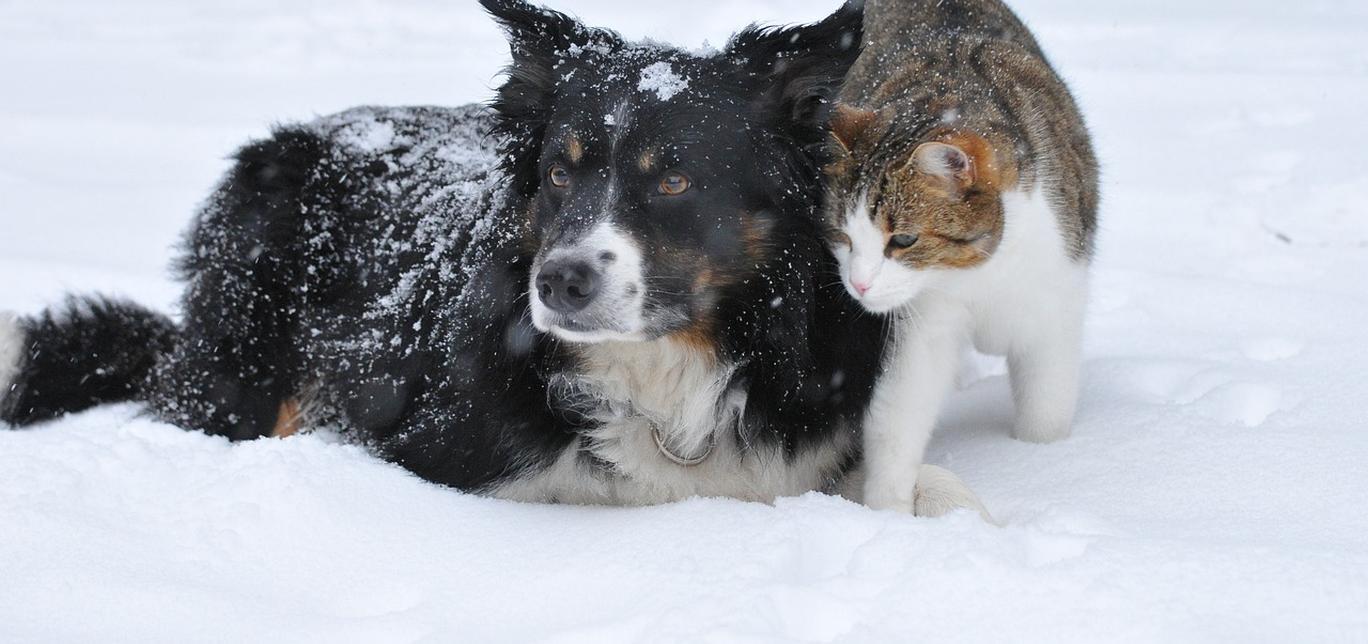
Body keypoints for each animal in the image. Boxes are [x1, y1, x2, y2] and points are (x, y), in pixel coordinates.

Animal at [0, 0, 990, 514]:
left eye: (674, 179)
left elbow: (928, 484)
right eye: (558, 171)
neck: (663, 375)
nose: (560, 281)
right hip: (248, 358)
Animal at [820, 0, 1099, 514]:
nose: (859, 285)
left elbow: (1046, 406)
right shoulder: (922, 321)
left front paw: (1044, 462)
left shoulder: (1054, 298)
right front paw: (888, 510)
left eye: (904, 239)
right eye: (843, 236)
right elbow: (900, 409)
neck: (980, 273)